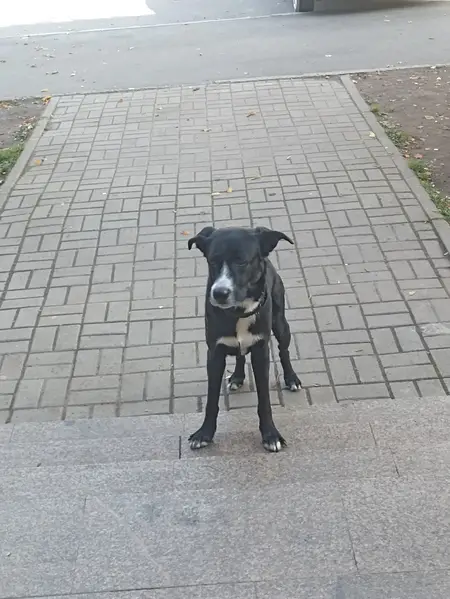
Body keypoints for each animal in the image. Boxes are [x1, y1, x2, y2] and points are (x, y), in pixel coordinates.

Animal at [187, 226, 302, 452]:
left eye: (241, 261)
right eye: (212, 261)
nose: (219, 293)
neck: (238, 311)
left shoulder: (261, 352)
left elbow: (264, 400)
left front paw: (270, 434)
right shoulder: (214, 354)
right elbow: (211, 400)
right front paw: (204, 433)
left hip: (281, 323)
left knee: (283, 350)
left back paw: (291, 378)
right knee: (240, 355)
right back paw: (238, 377)